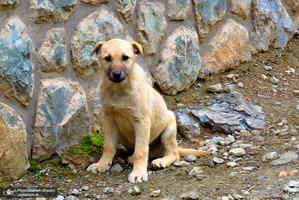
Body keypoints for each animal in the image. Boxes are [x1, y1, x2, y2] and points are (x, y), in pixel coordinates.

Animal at [87, 38, 211, 183]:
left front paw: (138, 173)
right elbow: (108, 146)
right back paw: (131, 157)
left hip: (169, 130)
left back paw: (161, 161)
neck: (120, 89)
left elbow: (141, 151)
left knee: (173, 154)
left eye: (125, 58)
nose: (117, 75)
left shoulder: (141, 121)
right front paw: (102, 164)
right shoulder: (108, 118)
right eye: (107, 58)